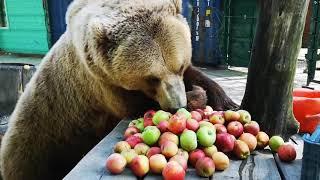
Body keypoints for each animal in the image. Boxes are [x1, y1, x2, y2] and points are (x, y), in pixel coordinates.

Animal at [0, 0, 235, 179]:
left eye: (180, 65)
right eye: (151, 78)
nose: (177, 106)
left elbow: (198, 77)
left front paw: (223, 99)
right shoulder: (101, 84)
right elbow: (136, 107)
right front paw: (196, 96)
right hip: (40, 147)